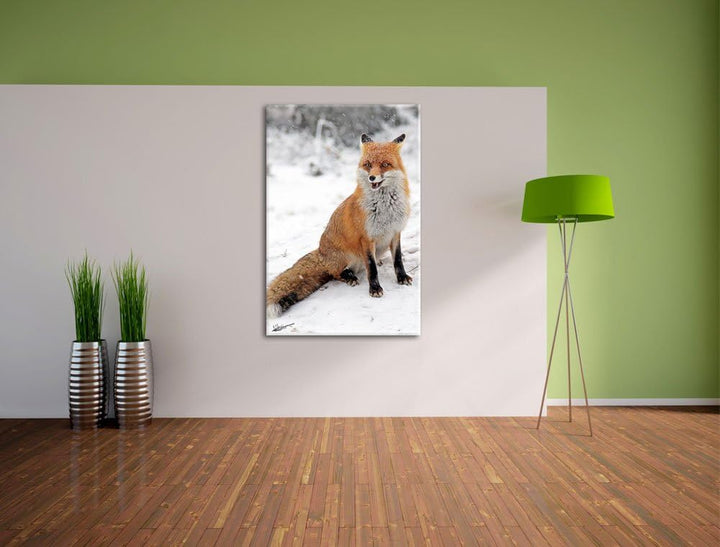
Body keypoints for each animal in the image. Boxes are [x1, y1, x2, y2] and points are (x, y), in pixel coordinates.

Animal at [267, 133, 413, 318]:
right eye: (368, 165)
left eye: (384, 164)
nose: (371, 177)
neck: (386, 208)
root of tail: (321, 252)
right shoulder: (366, 238)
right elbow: (371, 268)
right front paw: (375, 289)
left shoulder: (395, 232)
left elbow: (398, 260)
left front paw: (402, 278)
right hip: (347, 257)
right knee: (336, 273)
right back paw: (349, 277)